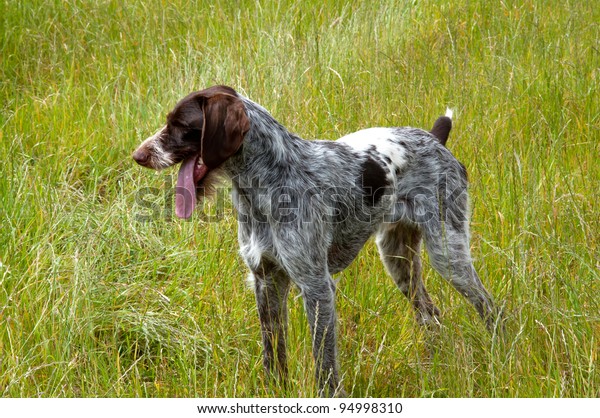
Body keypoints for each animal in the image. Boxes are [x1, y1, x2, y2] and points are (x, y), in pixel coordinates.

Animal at [134, 85, 500, 396]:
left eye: (181, 125)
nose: (138, 155)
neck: (265, 184)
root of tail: (436, 140)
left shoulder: (316, 286)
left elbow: (323, 362)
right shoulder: (266, 280)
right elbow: (274, 353)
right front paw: (275, 392)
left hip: (448, 255)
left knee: (491, 308)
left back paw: (501, 352)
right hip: (399, 260)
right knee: (430, 314)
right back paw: (433, 363)